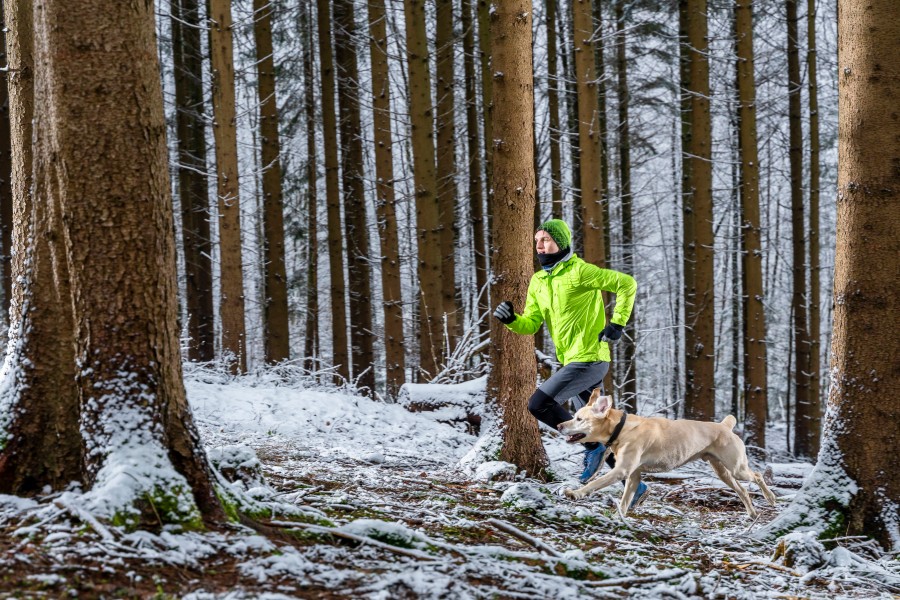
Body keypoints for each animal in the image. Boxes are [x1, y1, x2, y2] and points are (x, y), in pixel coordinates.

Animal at [560, 392, 776, 516]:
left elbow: (594, 484)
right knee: (743, 490)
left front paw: (575, 493)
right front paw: (619, 518)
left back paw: (770, 497)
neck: (621, 429)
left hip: (737, 467)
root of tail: (725, 426)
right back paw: (752, 513)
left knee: (757, 476)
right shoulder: (633, 476)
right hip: (722, 472)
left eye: (578, 418)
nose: (559, 425)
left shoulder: (621, 471)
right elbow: (625, 501)